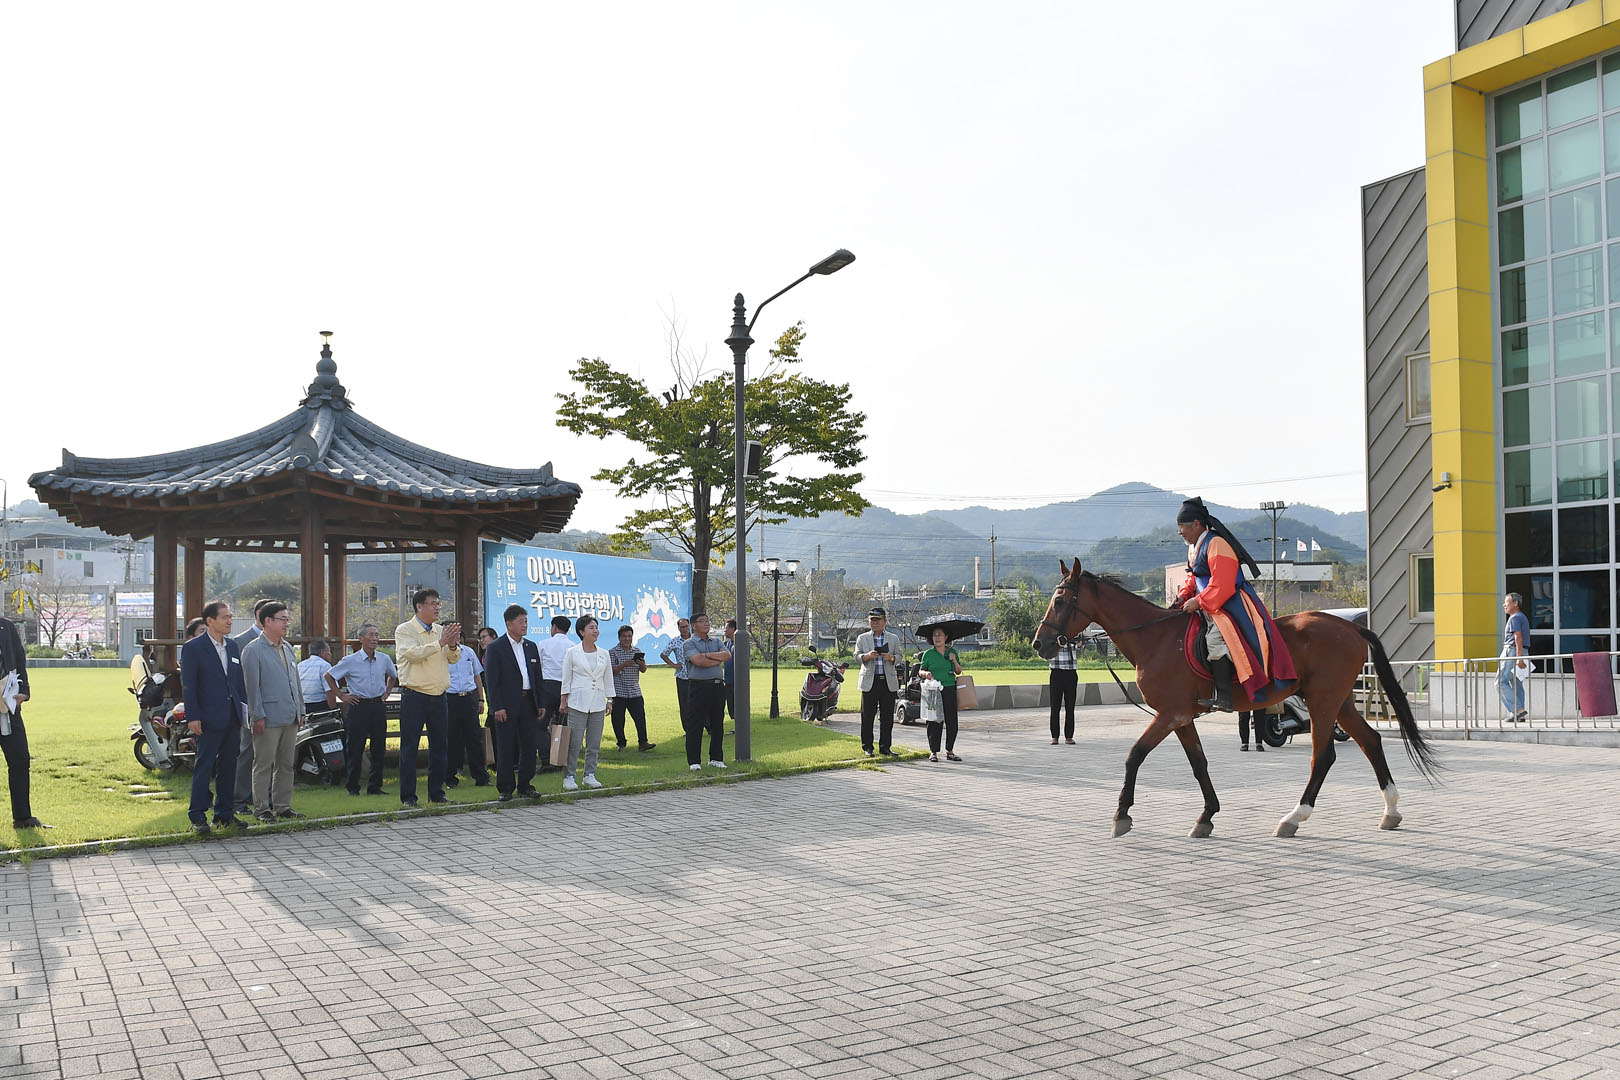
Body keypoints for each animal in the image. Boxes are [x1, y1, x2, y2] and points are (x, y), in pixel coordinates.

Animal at [1031, 559, 1439, 839]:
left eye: (1060, 601)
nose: (1039, 644)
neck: (1155, 638)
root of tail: (1349, 626)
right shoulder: (1181, 717)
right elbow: (1199, 764)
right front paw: (1207, 815)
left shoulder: (1168, 714)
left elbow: (1135, 755)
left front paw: (1122, 816)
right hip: (1338, 701)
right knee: (1370, 741)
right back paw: (1390, 811)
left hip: (1323, 701)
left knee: (1323, 757)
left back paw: (1293, 817)